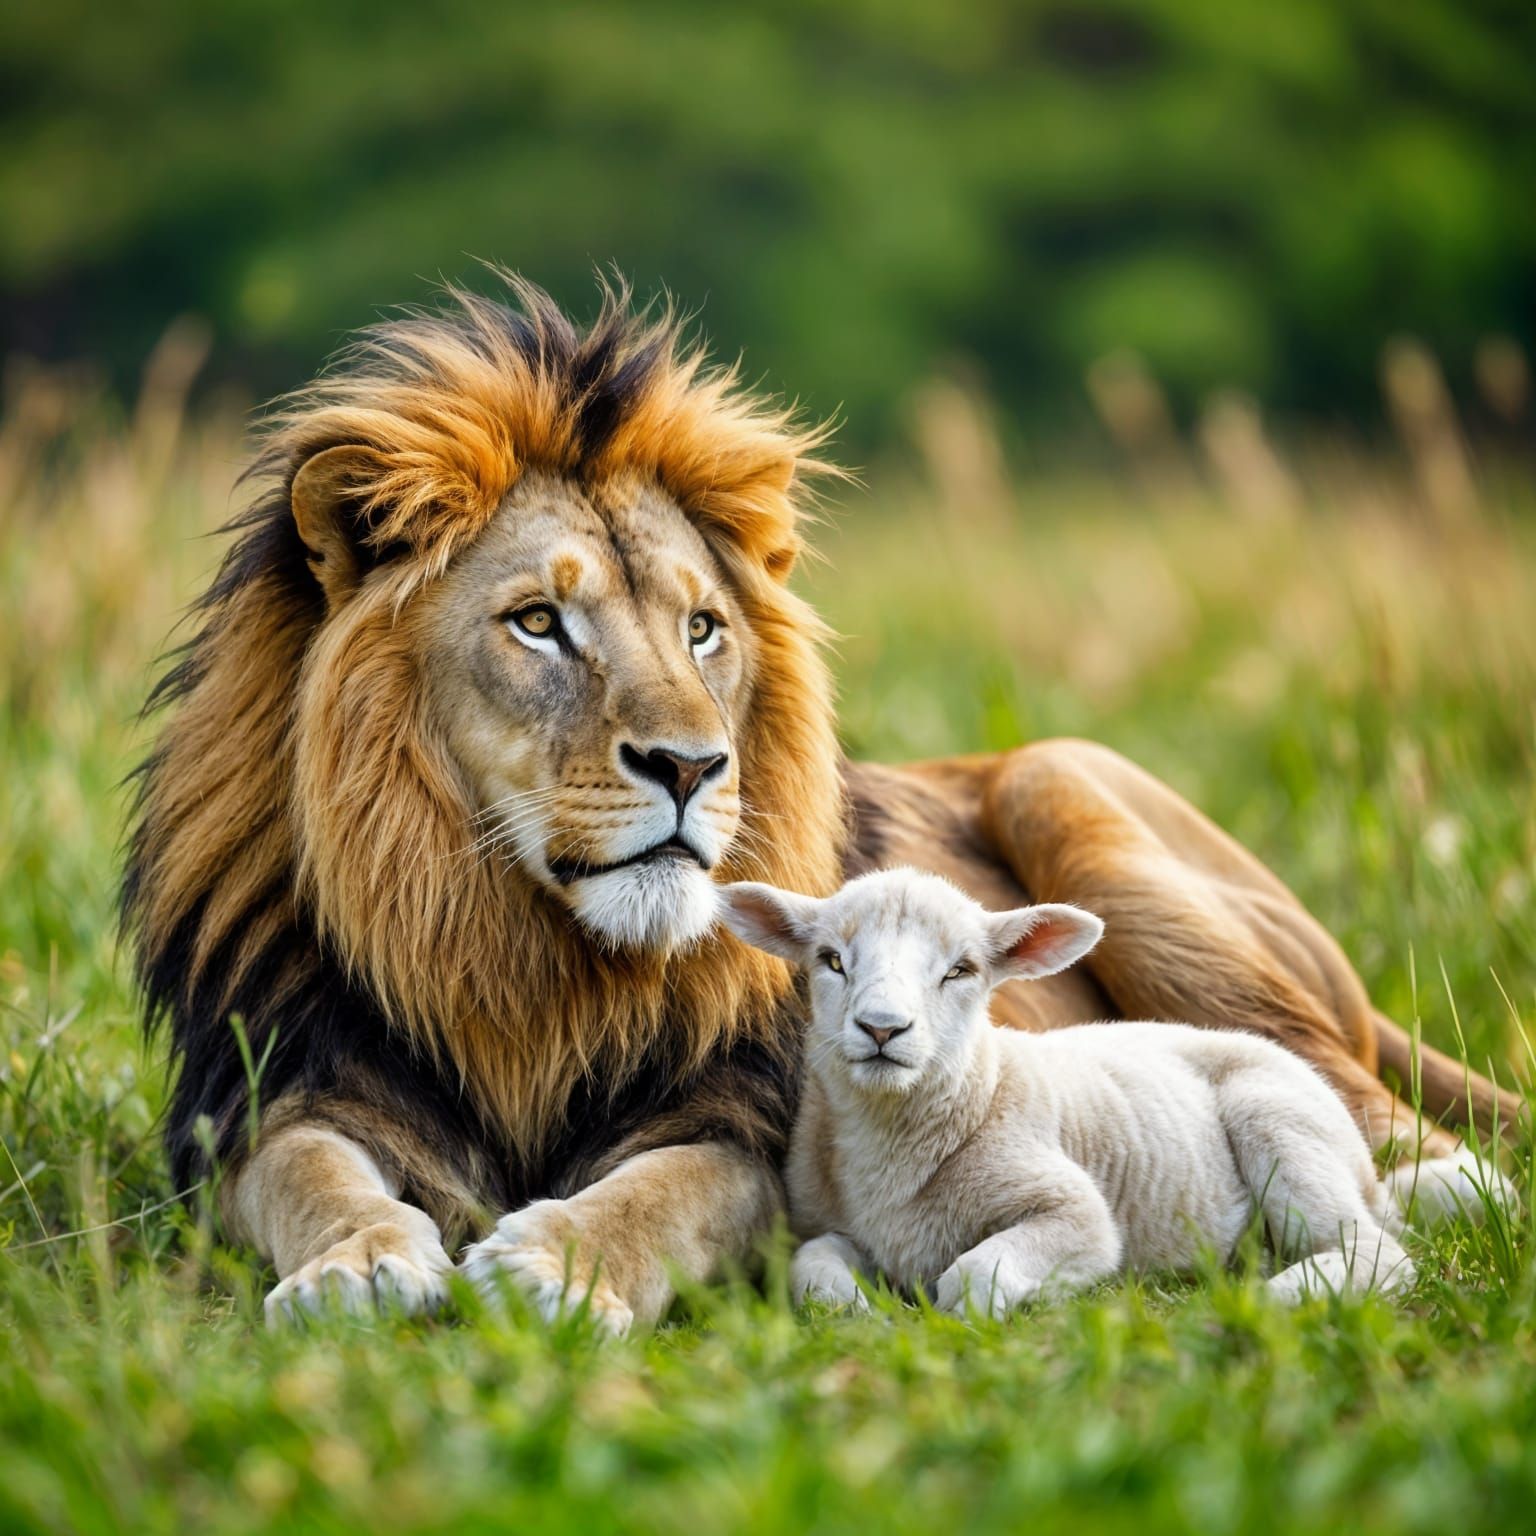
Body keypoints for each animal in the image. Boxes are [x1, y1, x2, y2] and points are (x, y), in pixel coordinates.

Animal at [720, 867, 1507, 1317]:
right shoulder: (827, 1226)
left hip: (1283, 1124)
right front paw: (862, 1307)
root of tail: (1369, 1173)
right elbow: (812, 1275)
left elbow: (974, 1279)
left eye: (961, 970)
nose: (882, 1029)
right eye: (831, 960)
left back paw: (1274, 1297)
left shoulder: (1075, 1212)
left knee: (1374, 1250)